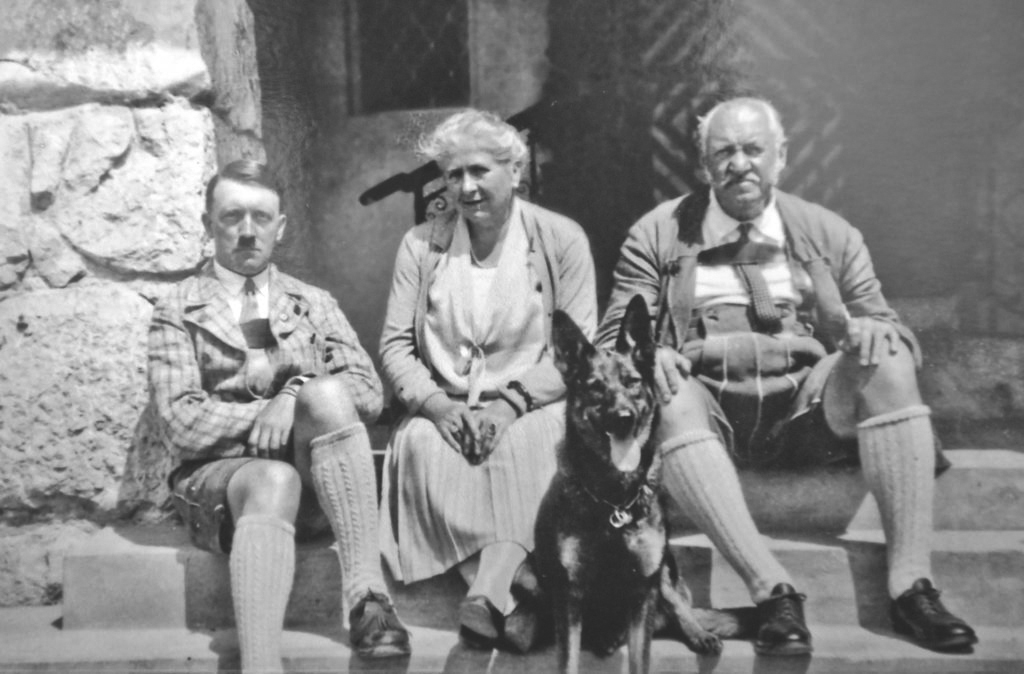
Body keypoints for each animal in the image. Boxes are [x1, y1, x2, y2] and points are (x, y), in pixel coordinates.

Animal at [535, 295, 756, 674]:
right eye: (595, 386)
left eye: (633, 382)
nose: (623, 419)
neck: (613, 500)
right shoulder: (568, 595)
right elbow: (569, 661)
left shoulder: (643, 591)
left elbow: (643, 657)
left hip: (662, 568)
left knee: (678, 602)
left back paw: (699, 633)